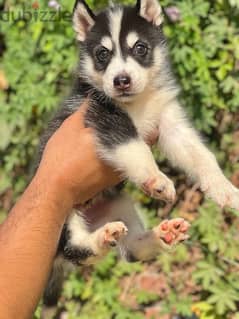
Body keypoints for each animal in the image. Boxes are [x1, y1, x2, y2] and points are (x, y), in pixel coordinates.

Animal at [40, 0, 238, 316]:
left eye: (140, 48)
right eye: (102, 54)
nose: (121, 80)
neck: (137, 103)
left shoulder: (170, 123)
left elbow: (200, 154)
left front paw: (223, 189)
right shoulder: (105, 118)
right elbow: (136, 147)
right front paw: (157, 179)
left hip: (120, 203)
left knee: (131, 250)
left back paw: (163, 235)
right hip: (63, 211)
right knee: (77, 248)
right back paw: (103, 236)